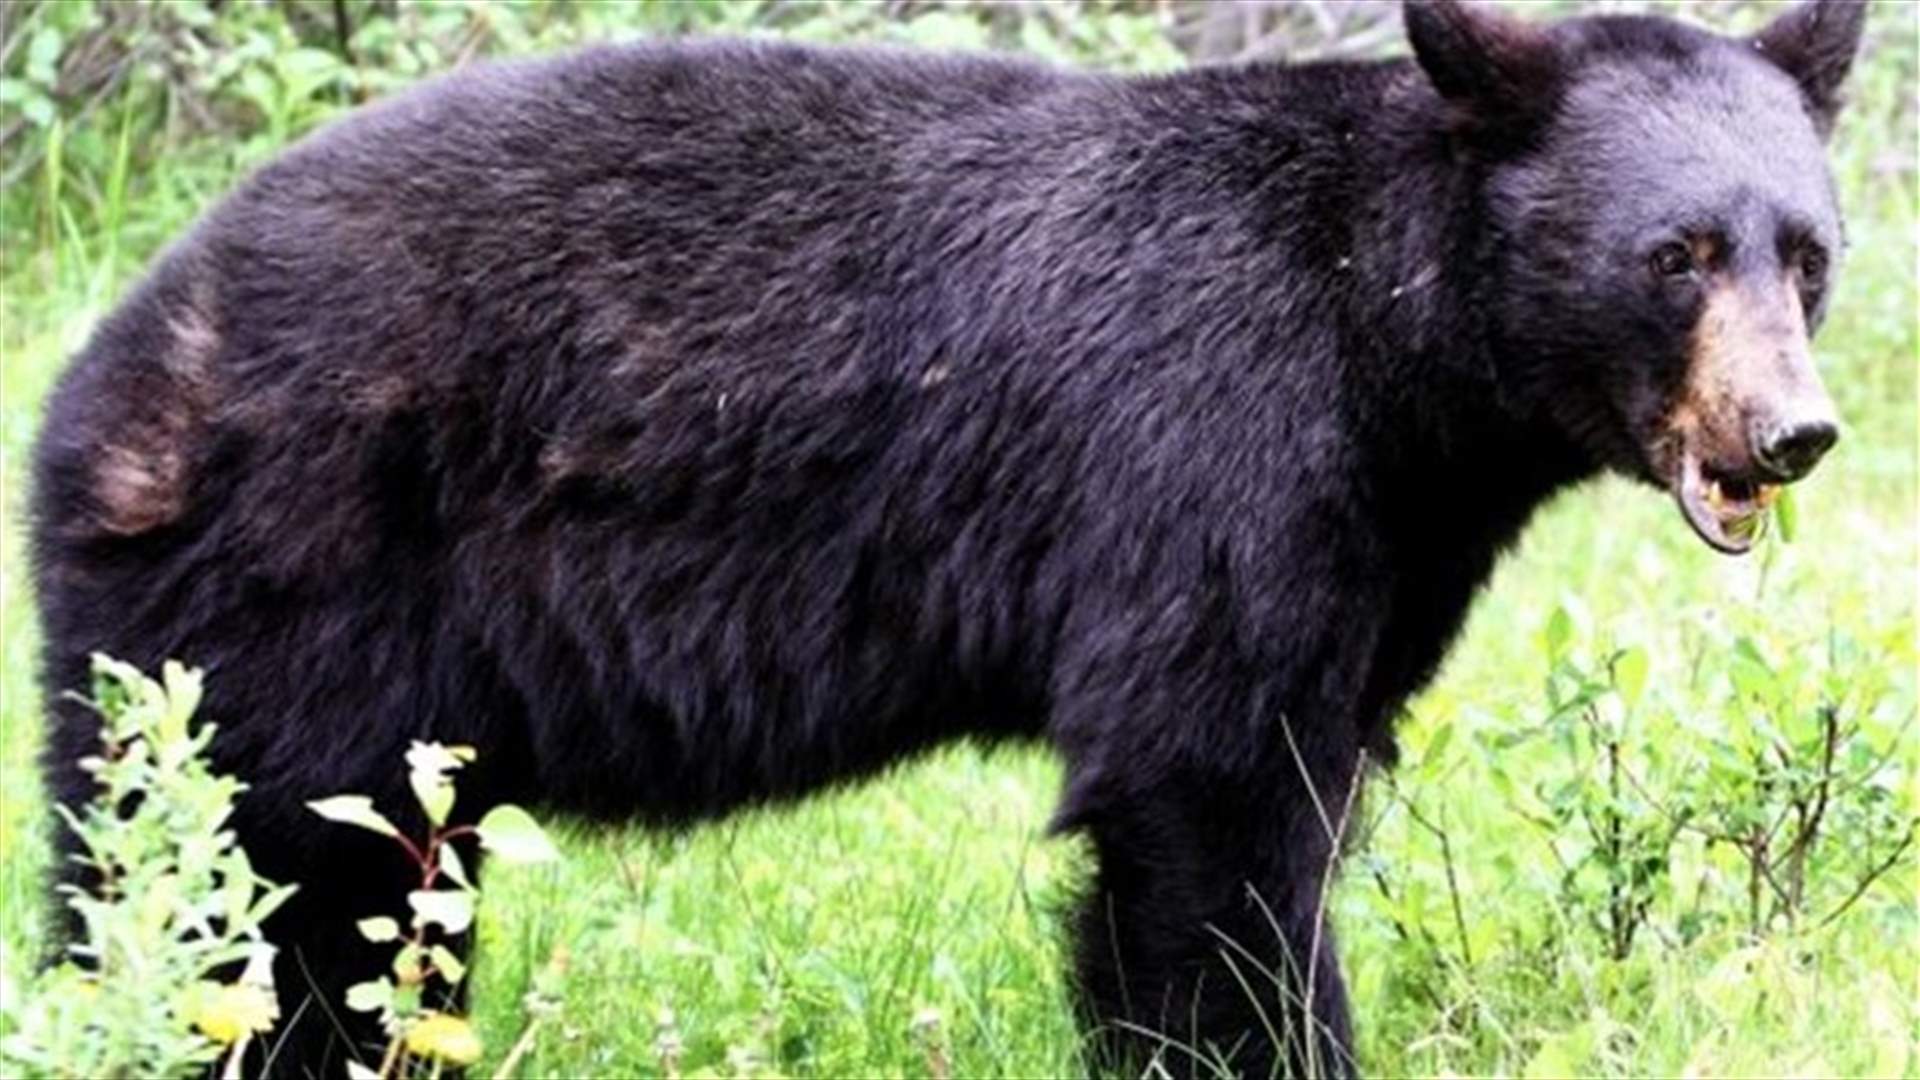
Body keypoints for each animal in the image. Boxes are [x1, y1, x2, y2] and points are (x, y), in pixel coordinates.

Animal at [30, 0, 1863, 1075]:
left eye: (1808, 250)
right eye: (1676, 254)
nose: (1791, 432)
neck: (1396, 343)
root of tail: (104, 361)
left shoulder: (1390, 534)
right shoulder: (1217, 451)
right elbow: (1208, 807)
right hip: (293, 577)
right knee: (240, 875)